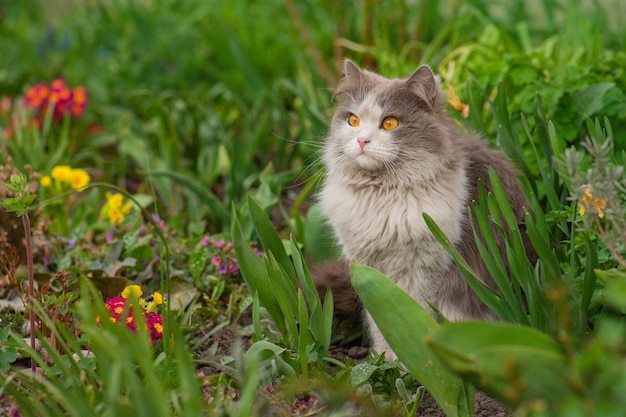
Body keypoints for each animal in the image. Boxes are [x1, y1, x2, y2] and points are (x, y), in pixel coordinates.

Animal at [314, 59, 528, 360]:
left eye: (390, 123)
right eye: (353, 120)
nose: (362, 141)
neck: (381, 195)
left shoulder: (425, 267)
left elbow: (413, 312)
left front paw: (412, 357)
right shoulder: (368, 266)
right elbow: (381, 320)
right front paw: (385, 358)